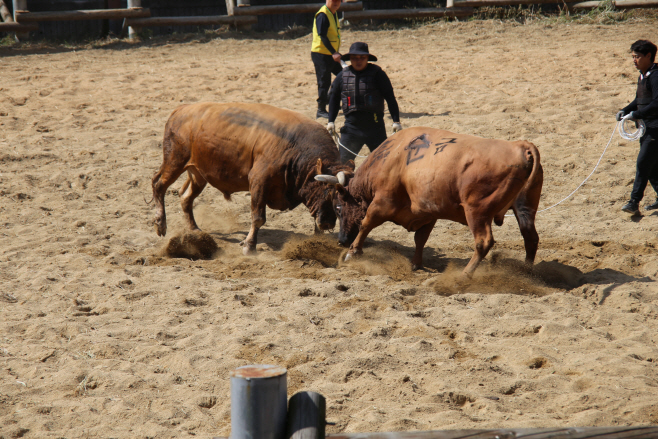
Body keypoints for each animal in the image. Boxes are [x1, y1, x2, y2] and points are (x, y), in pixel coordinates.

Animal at [151, 102, 352, 254]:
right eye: (327, 190)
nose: (327, 223)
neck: (295, 147)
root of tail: (182, 110)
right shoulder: (259, 182)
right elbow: (258, 218)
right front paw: (249, 245)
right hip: (174, 161)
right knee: (159, 185)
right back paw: (161, 224)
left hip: (198, 174)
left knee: (185, 197)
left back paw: (194, 230)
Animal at [316, 127, 540, 276]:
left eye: (338, 208)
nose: (341, 240)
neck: (392, 158)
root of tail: (520, 146)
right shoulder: (428, 213)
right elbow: (420, 238)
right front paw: (416, 263)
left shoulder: (382, 203)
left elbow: (365, 224)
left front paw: (352, 253)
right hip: (525, 209)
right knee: (531, 238)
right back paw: (526, 273)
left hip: (477, 211)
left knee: (483, 242)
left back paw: (465, 274)